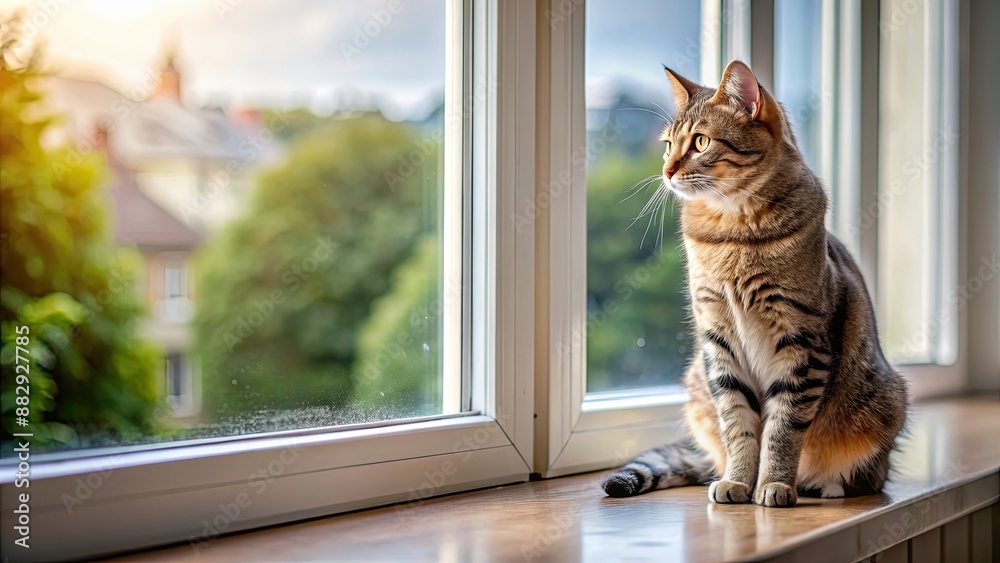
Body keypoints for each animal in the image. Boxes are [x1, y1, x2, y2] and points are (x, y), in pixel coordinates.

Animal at [600, 60, 908, 506]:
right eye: (667, 144)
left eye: (701, 142)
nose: (666, 170)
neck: (733, 230)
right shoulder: (719, 340)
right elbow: (738, 424)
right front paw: (738, 481)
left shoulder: (801, 343)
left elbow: (783, 428)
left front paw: (774, 483)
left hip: (884, 402)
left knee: (870, 476)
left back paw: (824, 485)